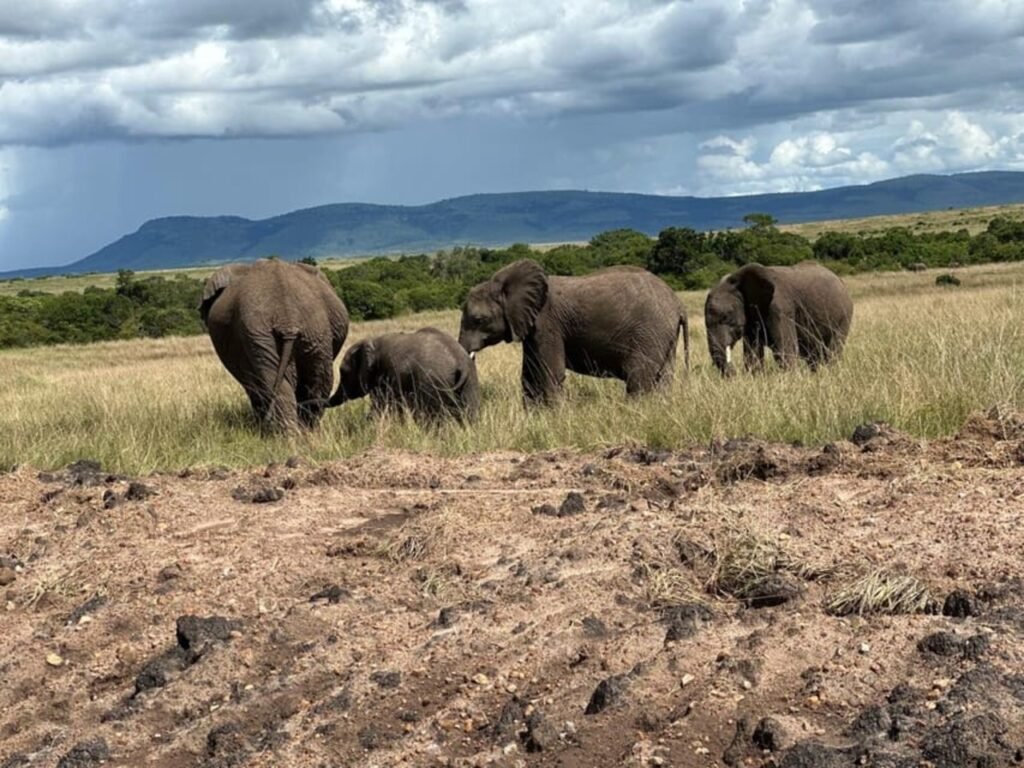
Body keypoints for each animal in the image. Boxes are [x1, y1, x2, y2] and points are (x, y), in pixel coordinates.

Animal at [328, 327, 480, 422]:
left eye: (343, 373)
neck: (372, 340)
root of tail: (461, 362)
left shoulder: (383, 376)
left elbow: (382, 406)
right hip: (471, 381)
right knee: (470, 412)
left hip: (433, 381)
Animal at [458, 259, 689, 403]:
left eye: (479, 320)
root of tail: (678, 304)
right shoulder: (532, 329)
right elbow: (529, 375)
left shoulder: (548, 323)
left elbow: (550, 373)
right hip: (664, 334)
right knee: (664, 377)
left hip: (650, 330)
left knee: (638, 377)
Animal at [704, 262, 852, 375]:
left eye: (726, 318)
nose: (734, 374)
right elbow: (753, 353)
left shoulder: (780, 308)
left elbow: (785, 349)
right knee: (813, 355)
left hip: (844, 315)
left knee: (833, 349)